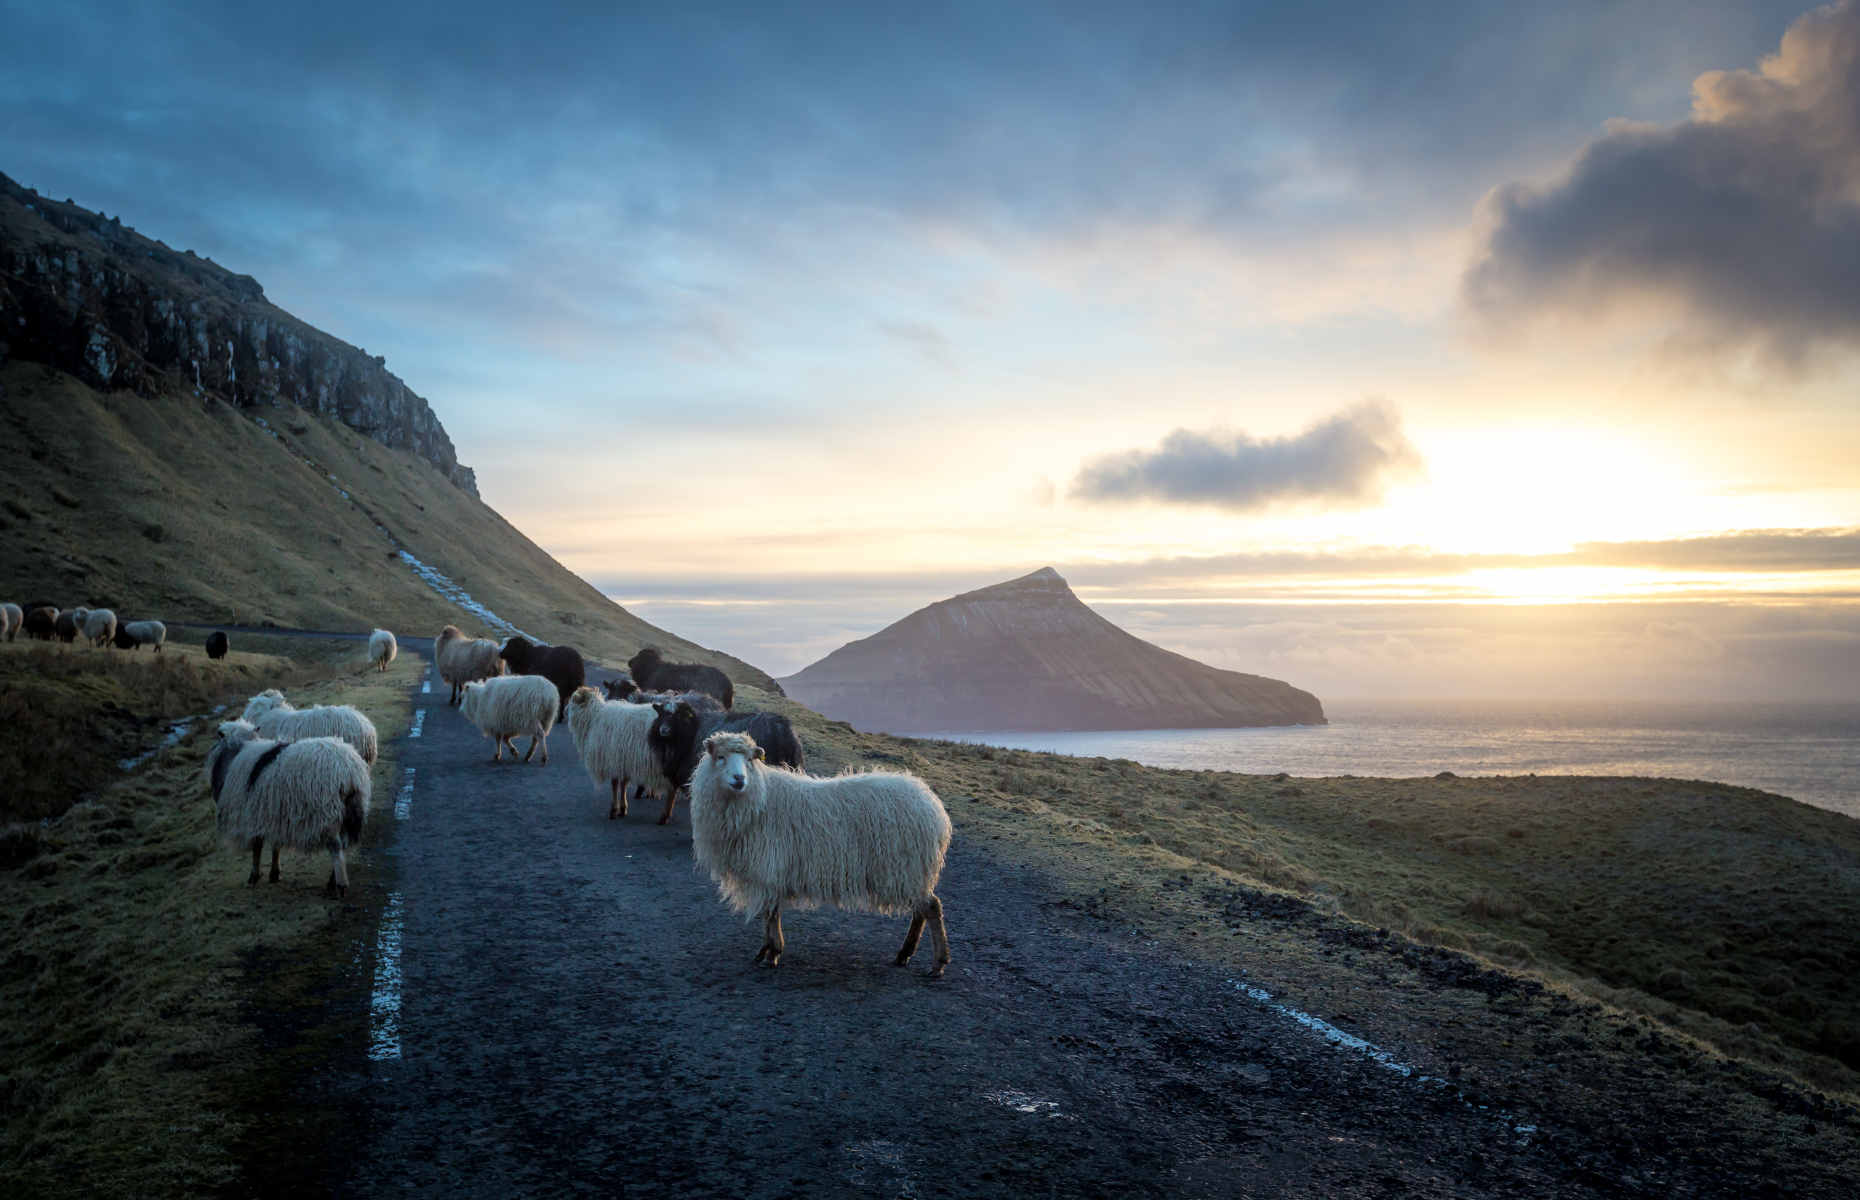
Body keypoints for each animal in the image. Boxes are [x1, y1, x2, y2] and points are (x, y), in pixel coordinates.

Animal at [205, 714, 372, 893]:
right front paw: (274, 873)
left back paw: (339, 886)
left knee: (336, 847)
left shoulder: (253, 815)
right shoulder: (275, 811)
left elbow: (257, 847)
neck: (235, 755)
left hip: (329, 813)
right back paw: (332, 881)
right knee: (344, 845)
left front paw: (254, 876)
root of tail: (349, 771)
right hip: (349, 810)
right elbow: (275, 845)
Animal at [565, 677, 669, 818]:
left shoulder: (613, 758)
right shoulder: (623, 759)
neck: (594, 716)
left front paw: (614, 809)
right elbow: (623, 783)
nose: (564, 711)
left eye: (573, 700)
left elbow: (615, 784)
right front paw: (623, 807)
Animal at [691, 729, 952, 974]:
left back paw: (938, 962)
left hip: (907, 869)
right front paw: (766, 949)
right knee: (920, 911)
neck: (759, 798)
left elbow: (771, 914)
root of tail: (931, 803)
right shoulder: (768, 873)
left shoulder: (768, 867)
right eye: (721, 757)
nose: (739, 779)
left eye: (748, 760)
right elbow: (769, 913)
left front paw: (773, 952)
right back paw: (905, 954)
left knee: (931, 907)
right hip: (912, 872)